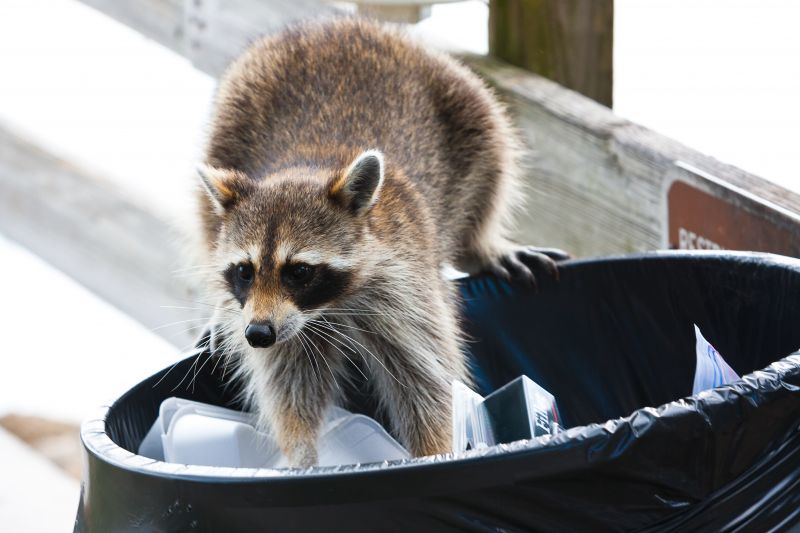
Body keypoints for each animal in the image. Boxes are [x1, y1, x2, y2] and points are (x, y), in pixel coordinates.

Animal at [195, 18, 567, 467]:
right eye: (244, 272)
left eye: (299, 271)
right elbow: (289, 383)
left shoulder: (407, 287)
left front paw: (435, 451)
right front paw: (302, 452)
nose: (257, 334)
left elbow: (427, 381)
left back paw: (482, 245)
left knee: (491, 163)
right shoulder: (281, 322)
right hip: (229, 119)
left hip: (464, 103)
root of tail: (335, 24)